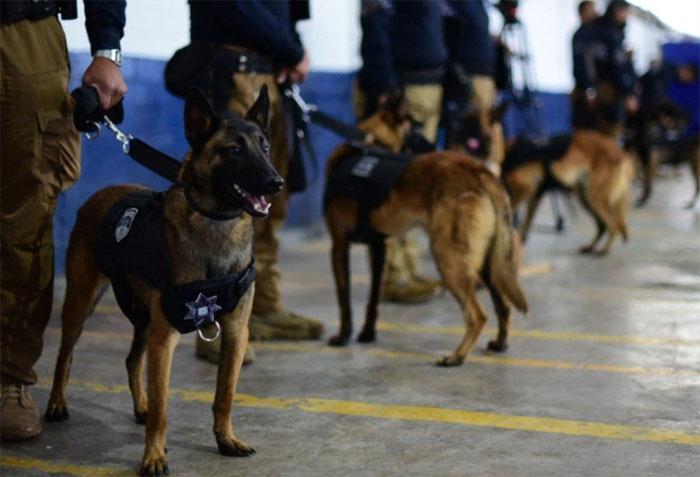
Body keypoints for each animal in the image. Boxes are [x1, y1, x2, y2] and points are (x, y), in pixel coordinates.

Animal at [45, 87, 282, 474]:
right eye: (234, 150)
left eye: (264, 147)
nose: (276, 183)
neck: (217, 222)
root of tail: (100, 195)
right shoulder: (164, 337)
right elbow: (163, 409)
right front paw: (154, 456)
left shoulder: (235, 332)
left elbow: (225, 395)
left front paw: (226, 440)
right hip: (81, 304)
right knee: (65, 355)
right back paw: (56, 404)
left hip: (143, 319)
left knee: (131, 360)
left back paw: (139, 406)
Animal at [326, 96, 528, 364]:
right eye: (415, 129)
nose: (432, 143)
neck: (370, 143)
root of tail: (479, 171)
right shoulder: (380, 247)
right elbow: (373, 300)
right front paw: (367, 334)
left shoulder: (339, 245)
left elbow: (344, 299)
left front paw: (343, 336)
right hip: (487, 263)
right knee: (503, 306)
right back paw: (499, 343)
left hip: (448, 258)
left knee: (477, 315)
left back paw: (456, 357)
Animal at [504, 130, 636, 255]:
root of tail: (621, 153)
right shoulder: (535, 194)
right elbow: (527, 221)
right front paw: (520, 242)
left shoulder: (524, 190)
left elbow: (511, 212)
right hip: (586, 199)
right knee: (602, 226)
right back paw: (590, 247)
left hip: (594, 198)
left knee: (612, 225)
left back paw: (604, 250)